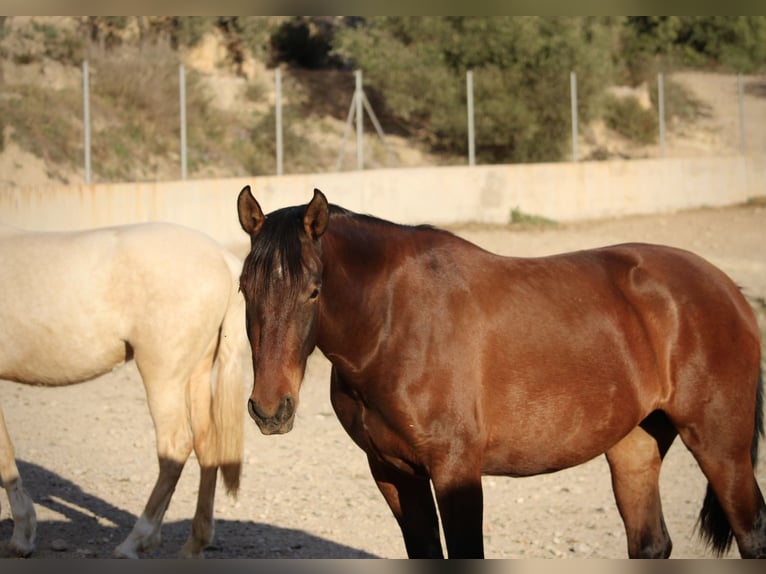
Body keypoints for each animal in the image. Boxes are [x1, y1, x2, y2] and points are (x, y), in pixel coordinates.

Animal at [0, 223, 249, 560]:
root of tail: (222, 257)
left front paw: (22, 537)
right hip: (196, 373)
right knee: (205, 444)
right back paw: (194, 543)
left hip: (163, 376)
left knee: (175, 448)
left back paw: (136, 541)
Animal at [237, 188, 764, 564]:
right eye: (244, 288)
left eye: (313, 290)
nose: (270, 409)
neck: (391, 324)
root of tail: (727, 288)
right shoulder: (392, 471)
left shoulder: (457, 471)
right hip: (636, 444)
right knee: (650, 542)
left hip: (720, 448)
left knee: (751, 530)